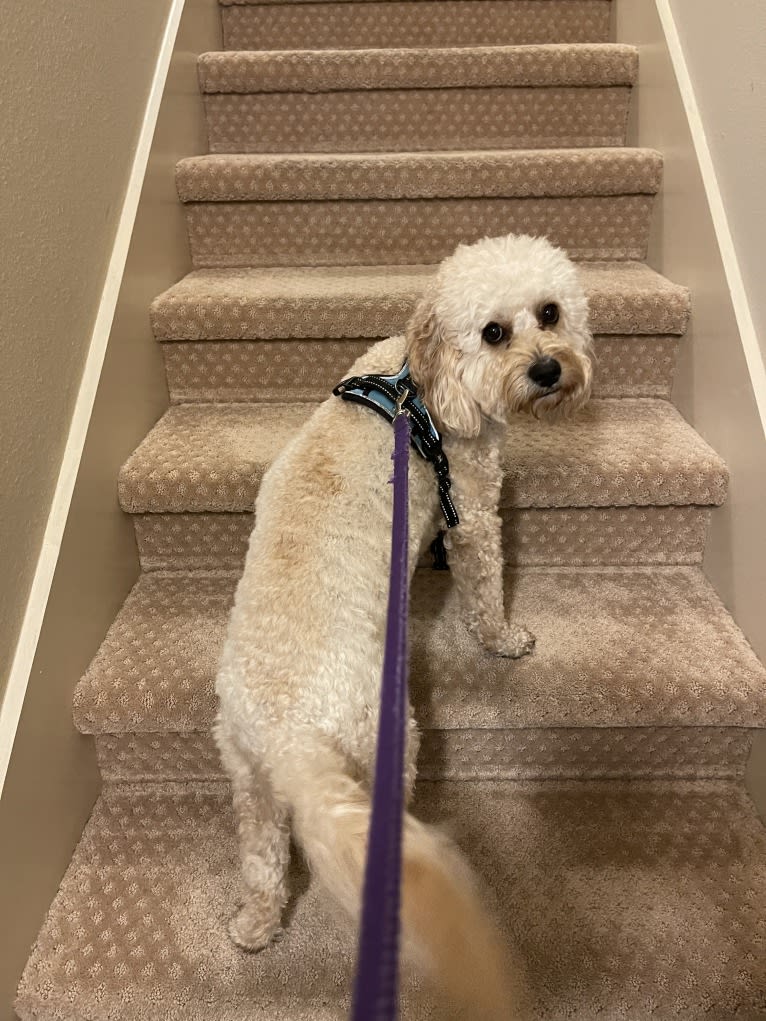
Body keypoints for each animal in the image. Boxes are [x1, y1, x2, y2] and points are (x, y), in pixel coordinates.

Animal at [213, 234, 596, 1016]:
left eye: (550, 312)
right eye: (494, 332)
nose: (549, 369)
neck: (418, 386)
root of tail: (292, 735)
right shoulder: (471, 509)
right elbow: (485, 586)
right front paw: (503, 639)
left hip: (248, 777)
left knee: (264, 860)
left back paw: (256, 926)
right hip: (389, 739)